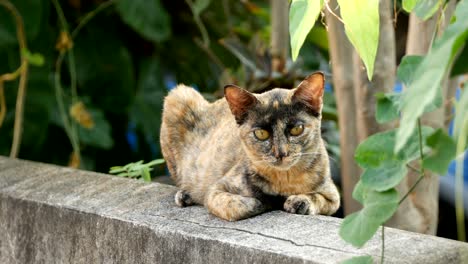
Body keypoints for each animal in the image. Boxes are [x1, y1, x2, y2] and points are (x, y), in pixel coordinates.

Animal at [160, 71, 340, 221]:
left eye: (297, 129)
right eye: (261, 134)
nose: (281, 153)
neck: (285, 180)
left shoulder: (332, 195)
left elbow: (317, 197)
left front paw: (299, 201)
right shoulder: (215, 191)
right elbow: (241, 205)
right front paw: (266, 202)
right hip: (179, 95)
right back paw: (186, 195)